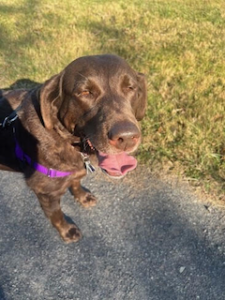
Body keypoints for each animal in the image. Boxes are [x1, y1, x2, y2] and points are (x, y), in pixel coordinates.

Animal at [0, 55, 147, 243]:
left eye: (130, 88)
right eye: (85, 92)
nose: (127, 137)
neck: (64, 138)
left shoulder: (76, 170)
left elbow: (76, 183)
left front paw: (82, 197)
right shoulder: (46, 192)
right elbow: (56, 215)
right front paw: (67, 231)